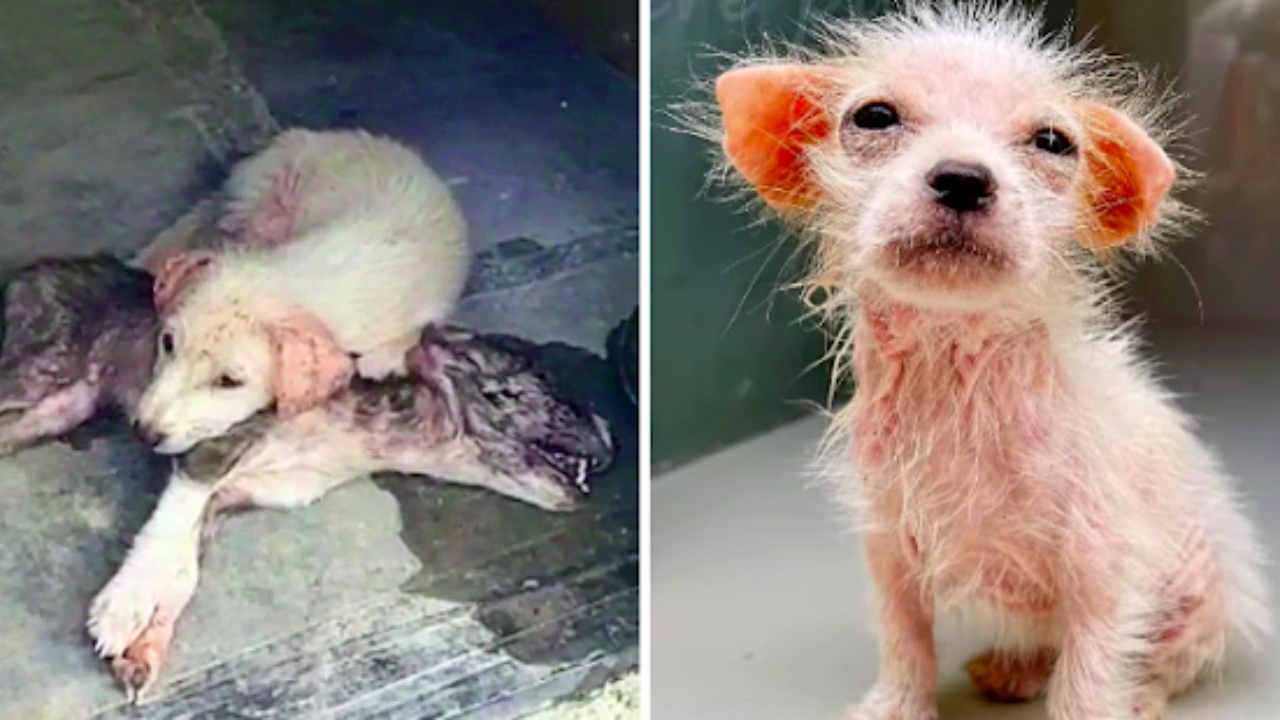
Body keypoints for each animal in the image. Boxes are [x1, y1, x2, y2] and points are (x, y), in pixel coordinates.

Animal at [0, 254, 614, 696]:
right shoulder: (213, 447)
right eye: (536, 392)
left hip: (56, 406)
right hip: (37, 368)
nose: (611, 440)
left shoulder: (231, 497)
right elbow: (168, 535)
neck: (364, 434)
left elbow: (183, 570)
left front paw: (143, 649)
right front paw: (123, 610)